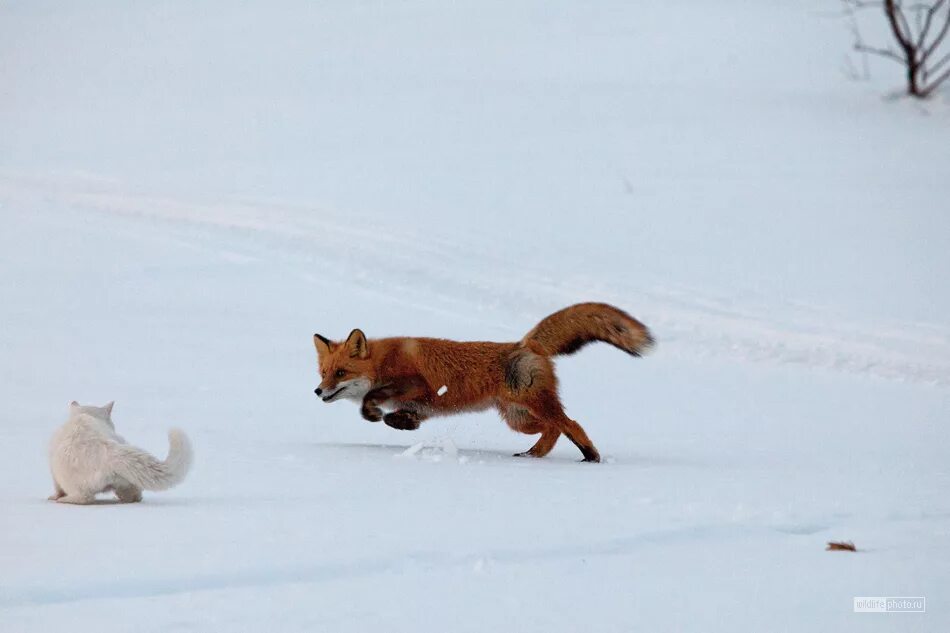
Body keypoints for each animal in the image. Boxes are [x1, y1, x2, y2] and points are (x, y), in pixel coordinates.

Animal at [48, 400, 193, 504]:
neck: (85, 415)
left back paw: (62, 500)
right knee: (134, 495)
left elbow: (57, 488)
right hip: (125, 479)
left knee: (84, 498)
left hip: (72, 482)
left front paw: (55, 496)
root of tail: (108, 453)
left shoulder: (54, 472)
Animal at [312, 302, 656, 460]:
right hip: (519, 419)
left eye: (340, 373)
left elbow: (371, 400)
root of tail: (525, 343)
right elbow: (399, 417)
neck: (382, 360)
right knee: (555, 429)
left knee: (571, 424)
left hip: (534, 407)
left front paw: (373, 413)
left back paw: (590, 456)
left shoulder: (418, 384)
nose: (317, 391)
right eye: (323, 372)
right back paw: (533, 455)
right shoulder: (421, 404)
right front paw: (403, 424)